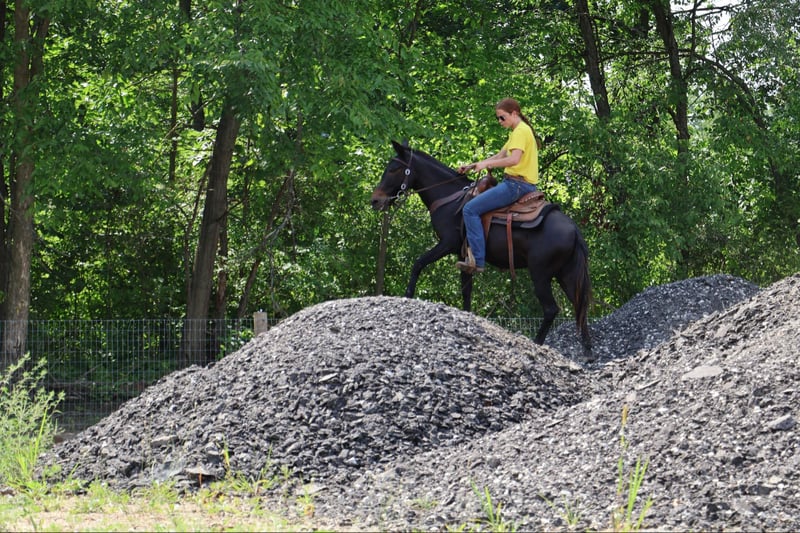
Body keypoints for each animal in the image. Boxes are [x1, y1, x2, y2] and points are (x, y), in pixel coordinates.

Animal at [370, 140, 594, 361]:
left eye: (393, 169)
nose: (375, 200)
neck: (450, 198)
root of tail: (574, 229)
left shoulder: (447, 244)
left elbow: (418, 263)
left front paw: (407, 296)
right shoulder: (463, 255)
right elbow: (466, 291)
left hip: (540, 273)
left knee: (551, 309)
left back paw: (537, 344)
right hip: (566, 274)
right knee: (580, 305)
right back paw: (588, 352)